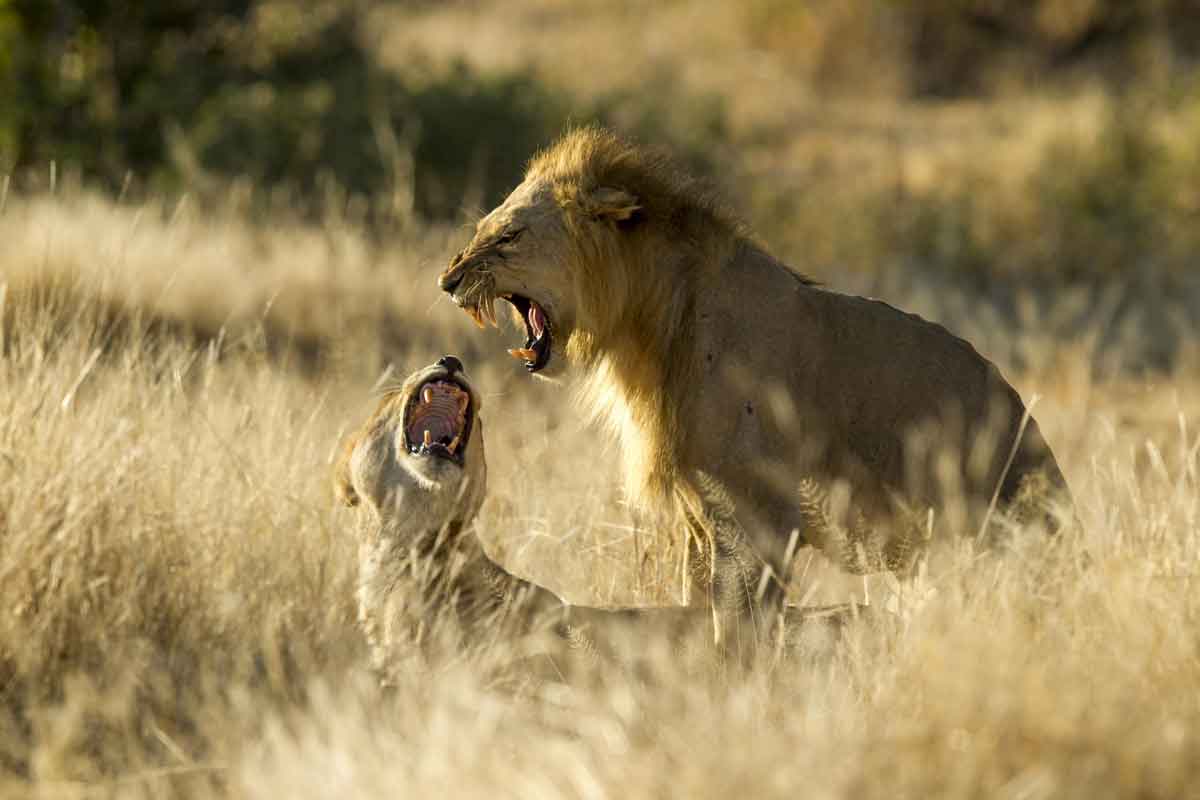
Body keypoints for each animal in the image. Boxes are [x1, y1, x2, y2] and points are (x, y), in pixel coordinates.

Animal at [439, 126, 1070, 652]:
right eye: (483, 228)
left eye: (510, 236)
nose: (448, 281)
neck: (647, 328)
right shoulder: (700, 520)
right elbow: (699, 611)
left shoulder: (753, 519)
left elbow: (739, 629)